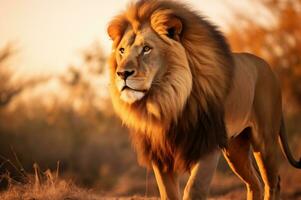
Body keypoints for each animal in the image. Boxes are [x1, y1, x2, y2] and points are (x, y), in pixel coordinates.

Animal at [106, 0, 298, 199]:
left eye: (146, 49)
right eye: (122, 51)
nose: (122, 73)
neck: (167, 102)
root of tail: (270, 68)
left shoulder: (206, 144)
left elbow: (194, 188)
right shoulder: (160, 153)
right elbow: (168, 193)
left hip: (265, 140)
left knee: (273, 182)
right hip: (235, 146)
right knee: (255, 183)